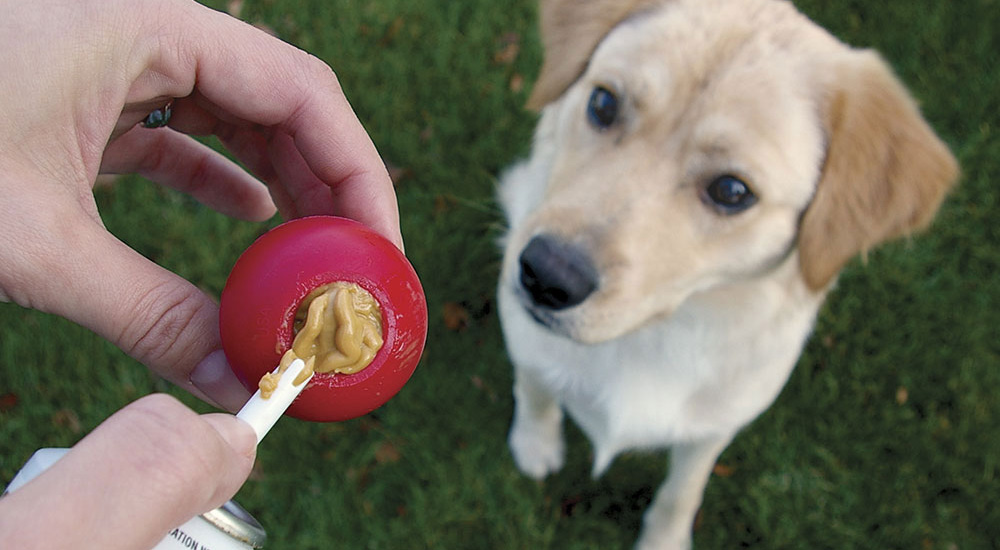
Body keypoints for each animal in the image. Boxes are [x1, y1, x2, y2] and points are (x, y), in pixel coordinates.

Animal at [496, 1, 956, 548]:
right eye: (604, 103)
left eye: (732, 191)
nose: (545, 274)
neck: (652, 336)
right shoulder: (525, 341)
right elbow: (535, 389)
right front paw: (534, 446)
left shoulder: (714, 428)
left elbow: (681, 492)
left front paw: (665, 540)